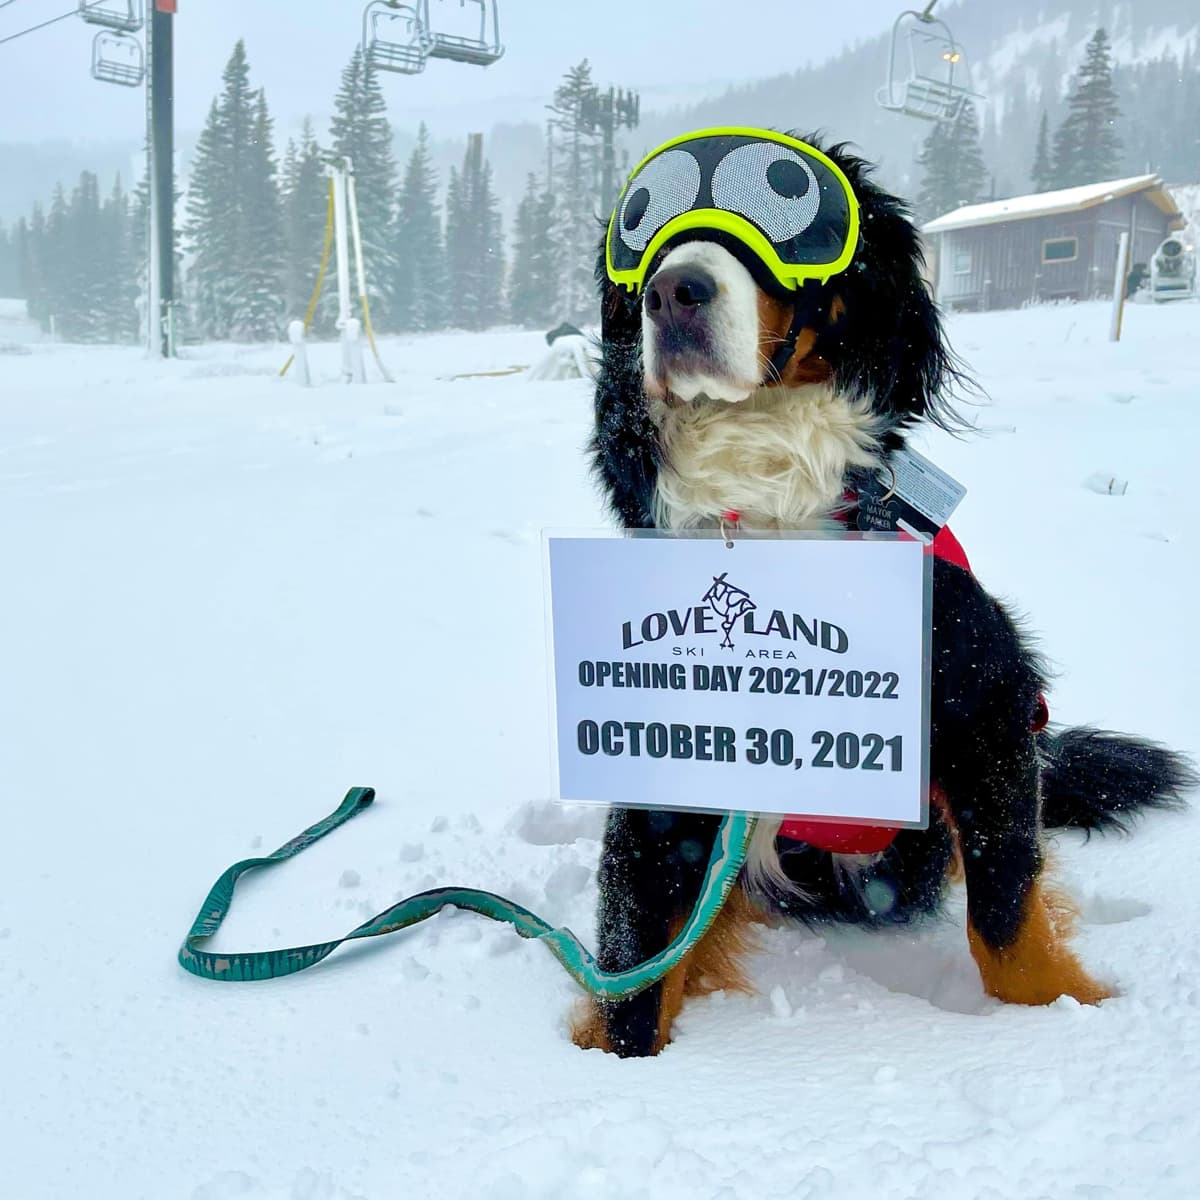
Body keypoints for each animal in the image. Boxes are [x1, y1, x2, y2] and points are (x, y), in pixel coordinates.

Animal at [568, 126, 1190, 1056]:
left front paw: (1062, 1021)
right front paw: (615, 1067)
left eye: (788, 202)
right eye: (640, 224)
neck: (765, 507)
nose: (676, 290)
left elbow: (1007, 915)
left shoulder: (986, 700)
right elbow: (635, 957)